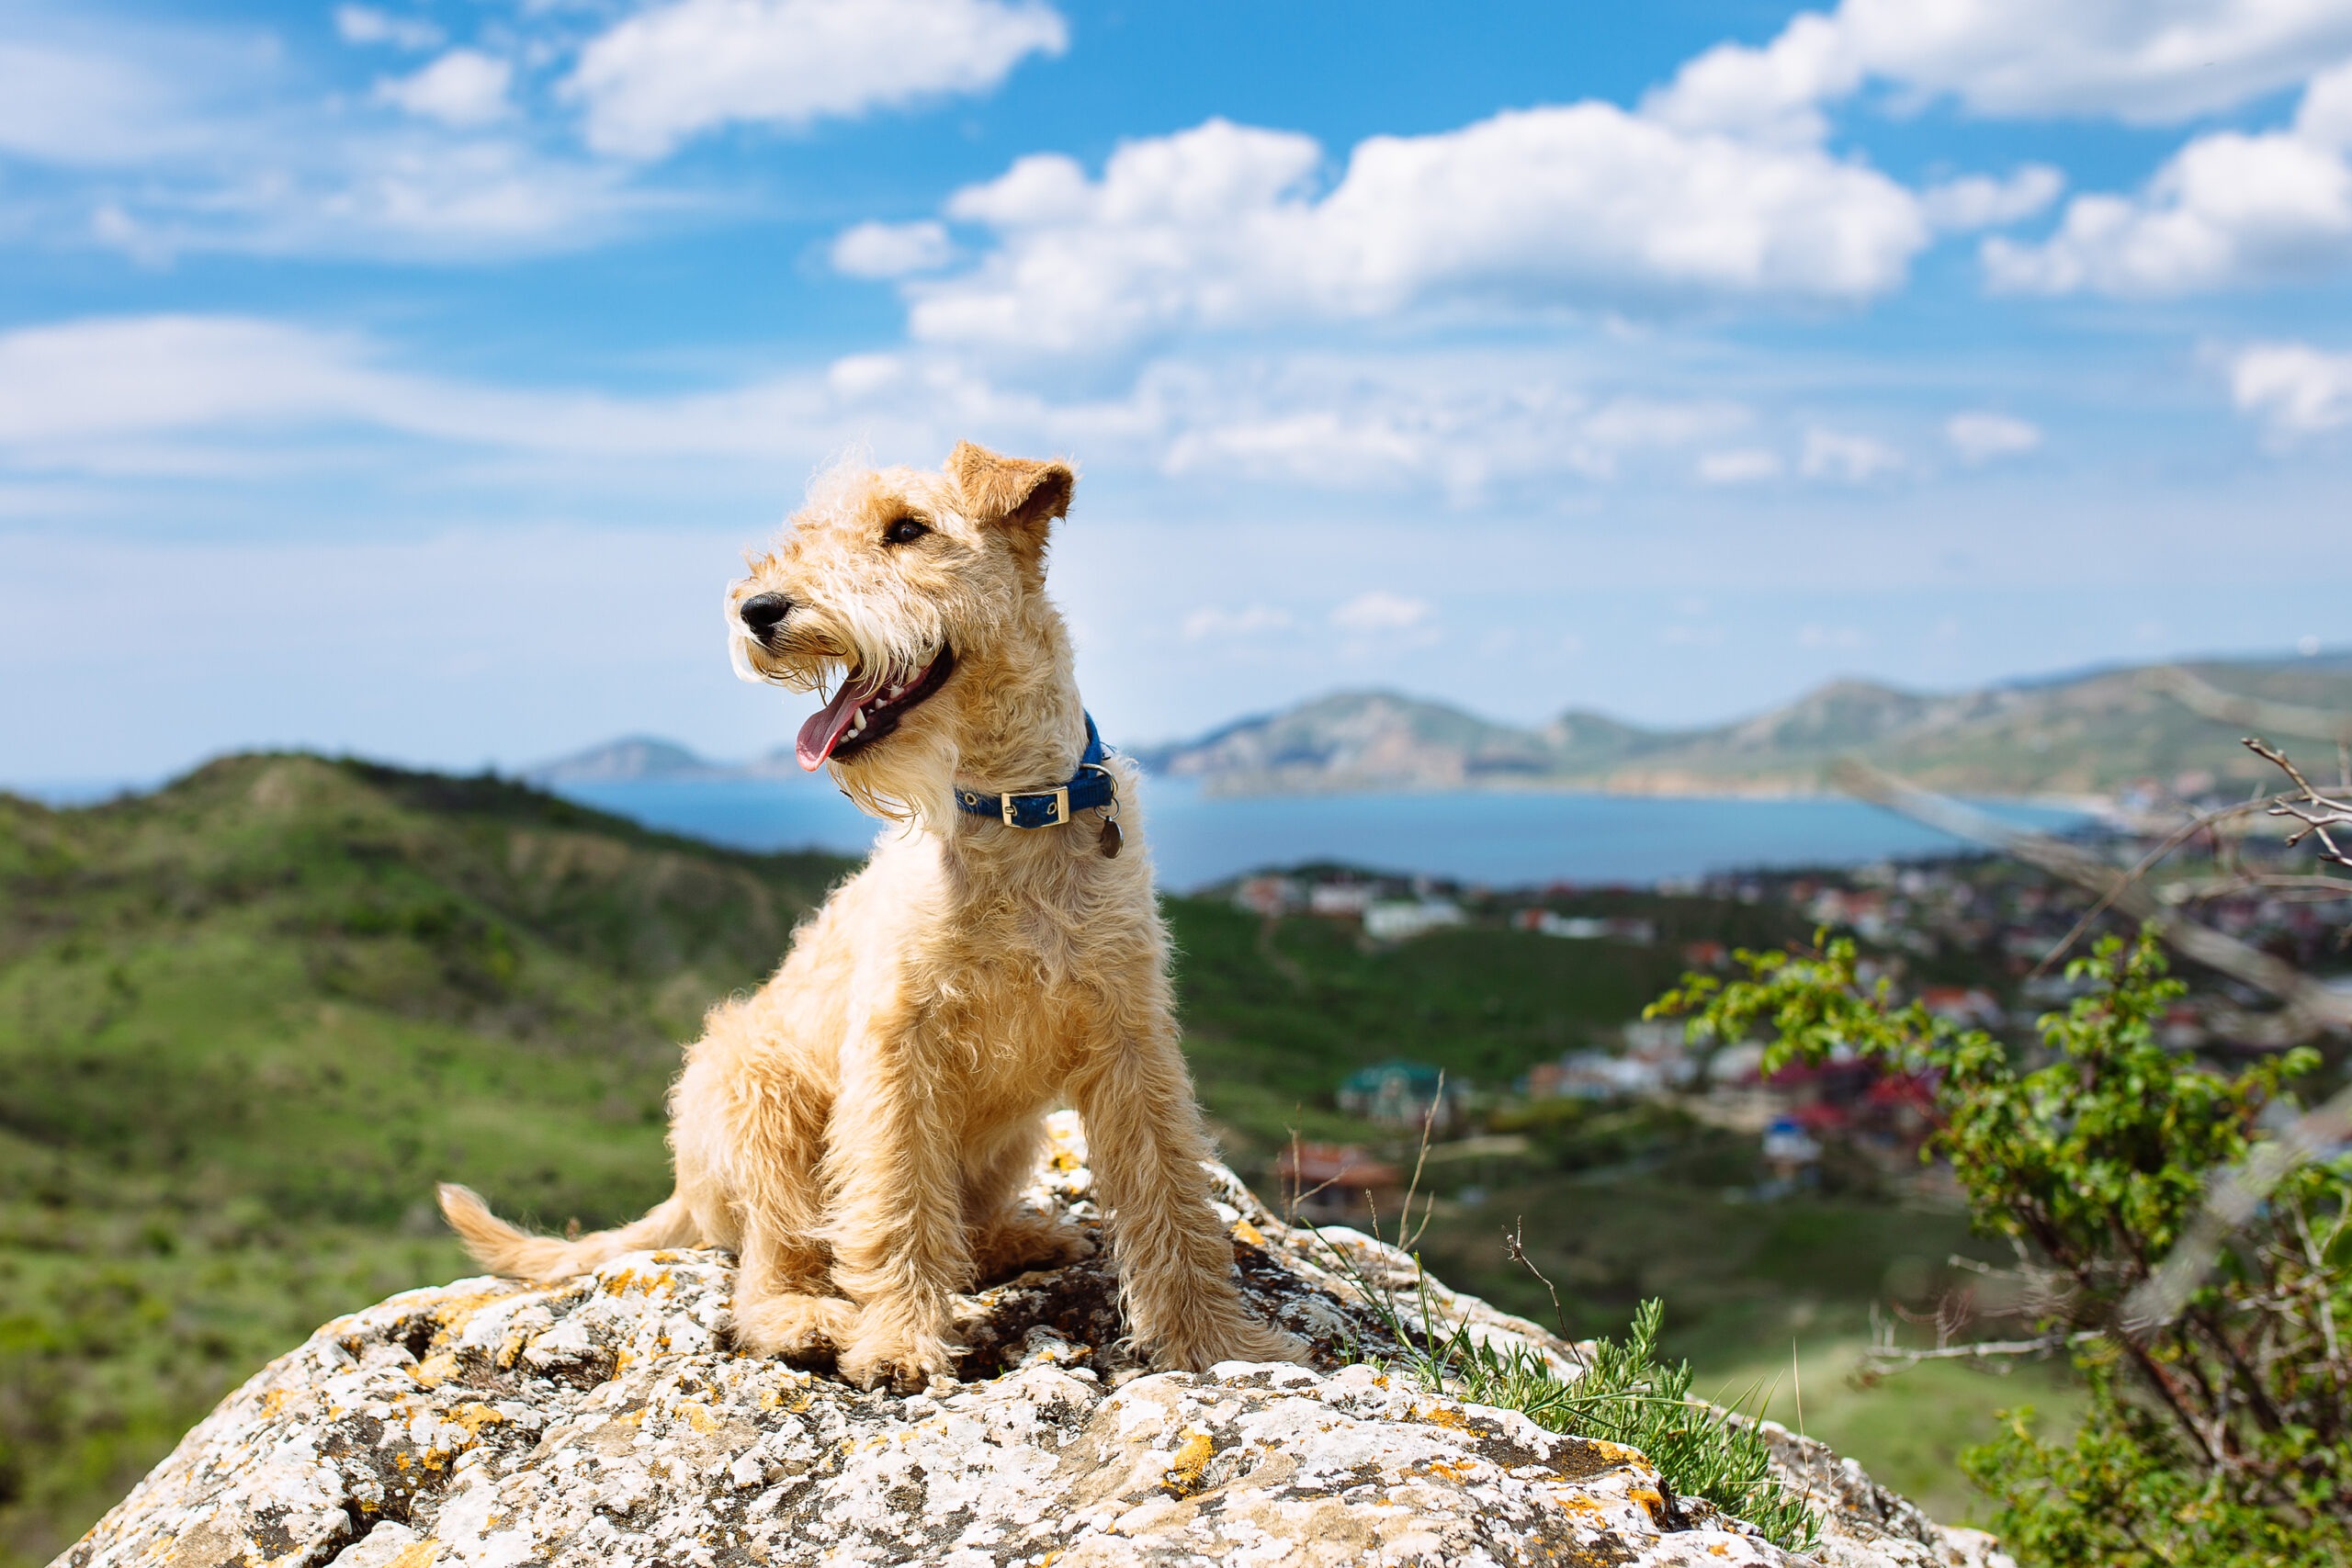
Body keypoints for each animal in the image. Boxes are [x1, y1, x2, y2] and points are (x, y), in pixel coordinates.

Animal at [442, 446, 1307, 1392]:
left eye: (907, 529)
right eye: (807, 531)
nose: (758, 609)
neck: (1009, 813)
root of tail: (685, 1188)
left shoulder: (1131, 1039)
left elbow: (1172, 1195)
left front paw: (1217, 1342)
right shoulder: (898, 1049)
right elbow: (898, 1202)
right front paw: (897, 1341)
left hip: (1006, 1138)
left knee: (962, 1225)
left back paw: (1024, 1237)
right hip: (760, 1097)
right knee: (771, 1267)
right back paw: (809, 1318)